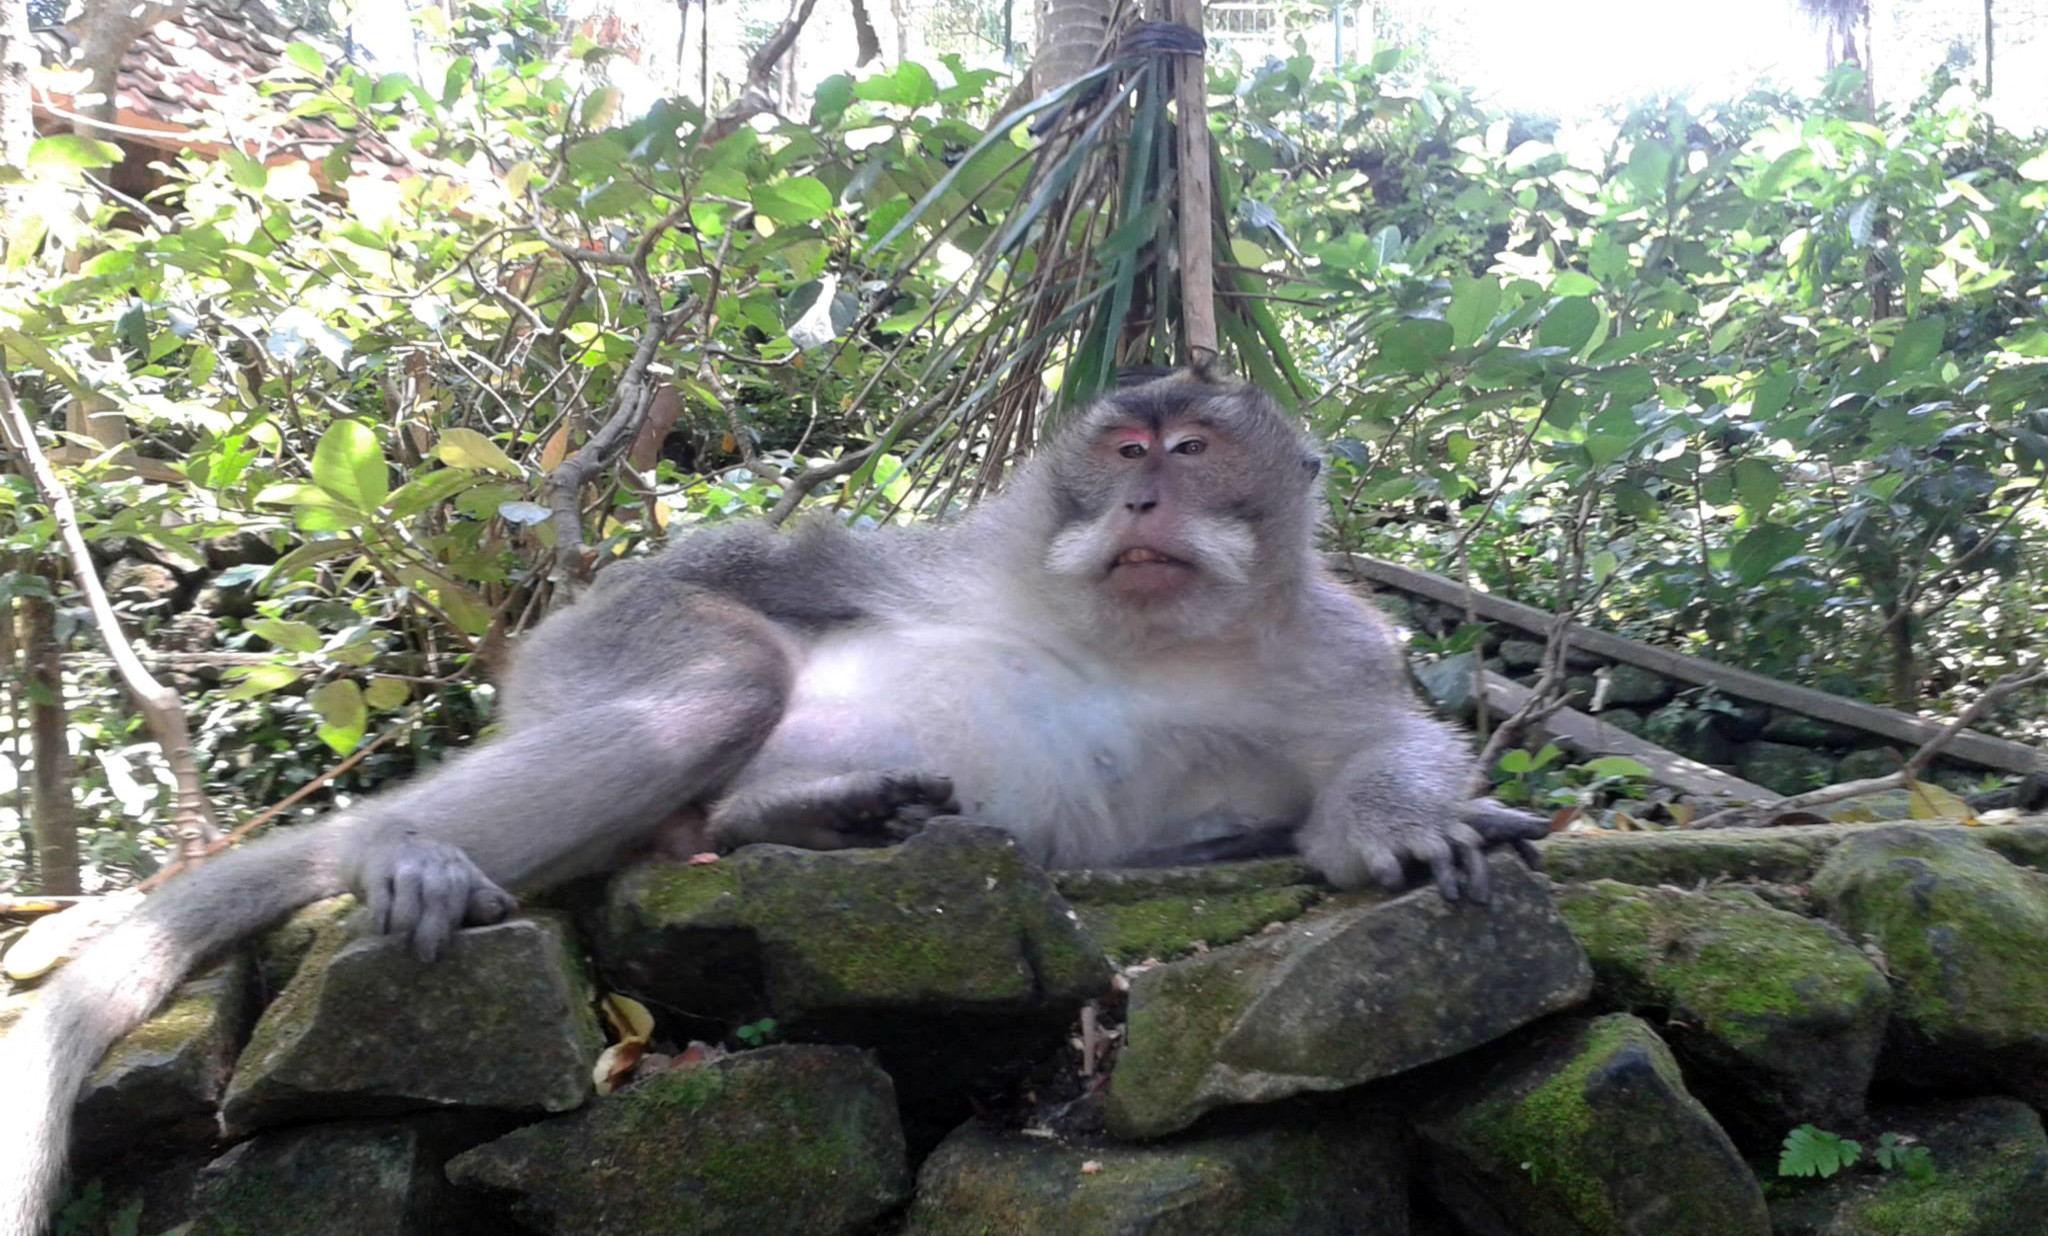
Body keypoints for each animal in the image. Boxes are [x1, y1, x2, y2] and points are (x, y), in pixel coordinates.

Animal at [0, 368, 1546, 1234]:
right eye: (1124, 454)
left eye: (1191, 451)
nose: (1147, 503)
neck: (1151, 634)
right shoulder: (959, 553)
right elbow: (750, 563)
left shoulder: (1336, 648)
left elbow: (1368, 758)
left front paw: (1405, 827)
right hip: (573, 687)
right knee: (718, 678)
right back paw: (411, 848)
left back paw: (802, 824)